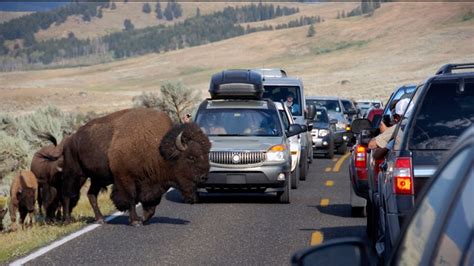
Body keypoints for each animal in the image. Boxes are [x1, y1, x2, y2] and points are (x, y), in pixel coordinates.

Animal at [59, 109, 211, 225]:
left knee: (91, 194)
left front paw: (144, 218)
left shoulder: (152, 183)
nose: (204, 177)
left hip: (98, 178)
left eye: (206, 153)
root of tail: (70, 139)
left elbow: (152, 203)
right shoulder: (125, 179)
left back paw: (100, 219)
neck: (157, 150)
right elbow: (131, 198)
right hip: (76, 174)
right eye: (191, 157)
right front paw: (136, 221)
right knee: (67, 194)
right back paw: (67, 220)